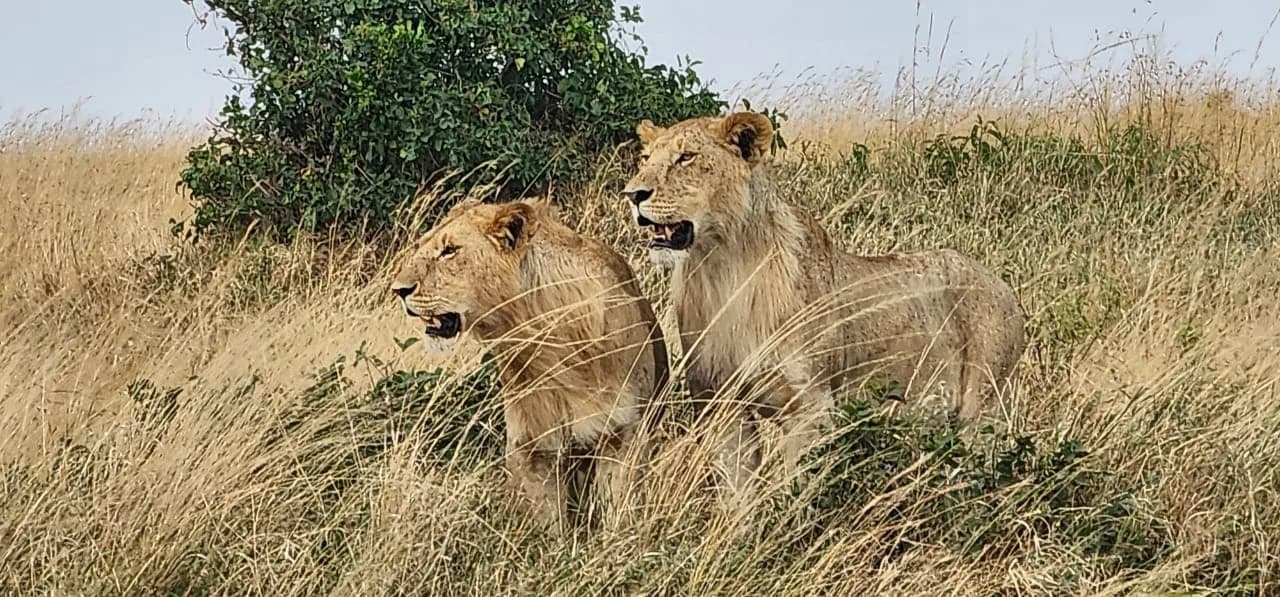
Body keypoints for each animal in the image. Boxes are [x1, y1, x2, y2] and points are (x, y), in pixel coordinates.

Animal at [390, 197, 669, 530]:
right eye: (423, 246)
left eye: (450, 250)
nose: (398, 290)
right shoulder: (534, 448)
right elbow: (548, 524)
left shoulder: (623, 432)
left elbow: (618, 507)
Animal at [621, 111, 1027, 501]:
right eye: (645, 159)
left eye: (686, 157)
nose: (632, 194)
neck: (721, 268)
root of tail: (1004, 286)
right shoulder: (719, 403)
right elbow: (737, 492)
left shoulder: (811, 408)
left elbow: (790, 489)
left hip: (983, 407)